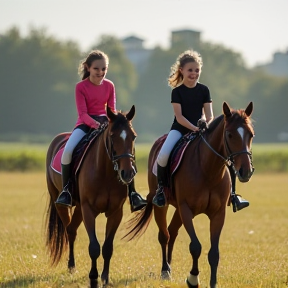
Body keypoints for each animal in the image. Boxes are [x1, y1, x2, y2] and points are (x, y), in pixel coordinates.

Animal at [45, 106, 137, 288]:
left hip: (79, 208)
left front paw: (105, 278)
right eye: (112, 136)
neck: (106, 172)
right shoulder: (88, 210)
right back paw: (71, 266)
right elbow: (94, 247)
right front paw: (93, 278)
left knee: (72, 229)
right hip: (60, 203)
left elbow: (107, 247)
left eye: (133, 136)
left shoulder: (116, 212)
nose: (127, 173)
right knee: (69, 231)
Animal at [124, 102, 254, 288]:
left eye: (251, 134)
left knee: (172, 232)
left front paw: (212, 282)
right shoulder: (186, 209)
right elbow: (195, 246)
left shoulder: (218, 213)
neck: (208, 170)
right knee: (164, 235)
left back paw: (169, 266)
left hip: (178, 209)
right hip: (162, 206)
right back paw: (165, 270)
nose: (246, 172)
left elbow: (214, 253)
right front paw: (193, 278)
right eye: (229, 134)